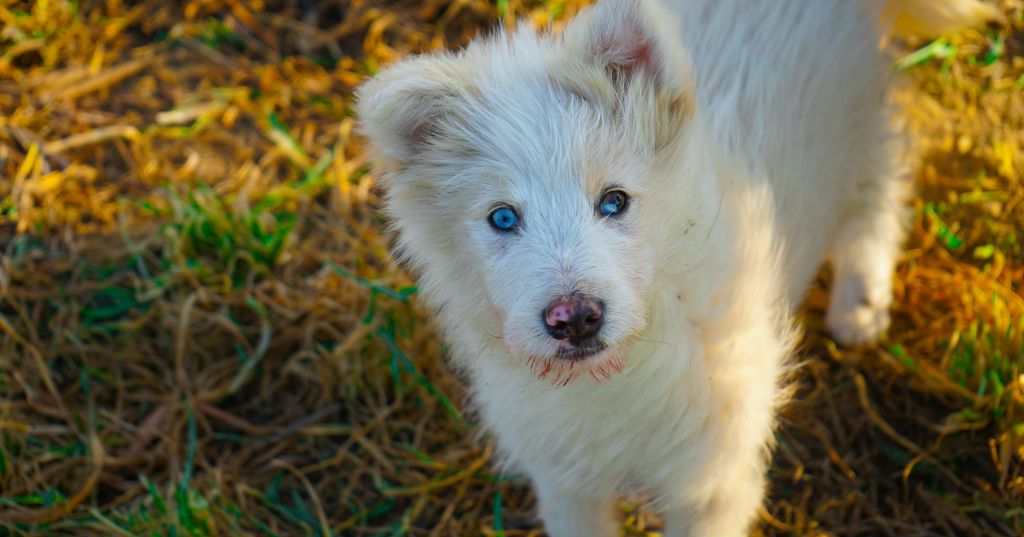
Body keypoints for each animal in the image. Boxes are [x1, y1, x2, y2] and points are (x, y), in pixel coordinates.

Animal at [358, 1, 991, 537]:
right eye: (503, 217)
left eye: (614, 201)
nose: (575, 319)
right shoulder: (566, 483)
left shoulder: (715, 480)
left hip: (857, 120)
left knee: (879, 194)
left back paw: (859, 306)